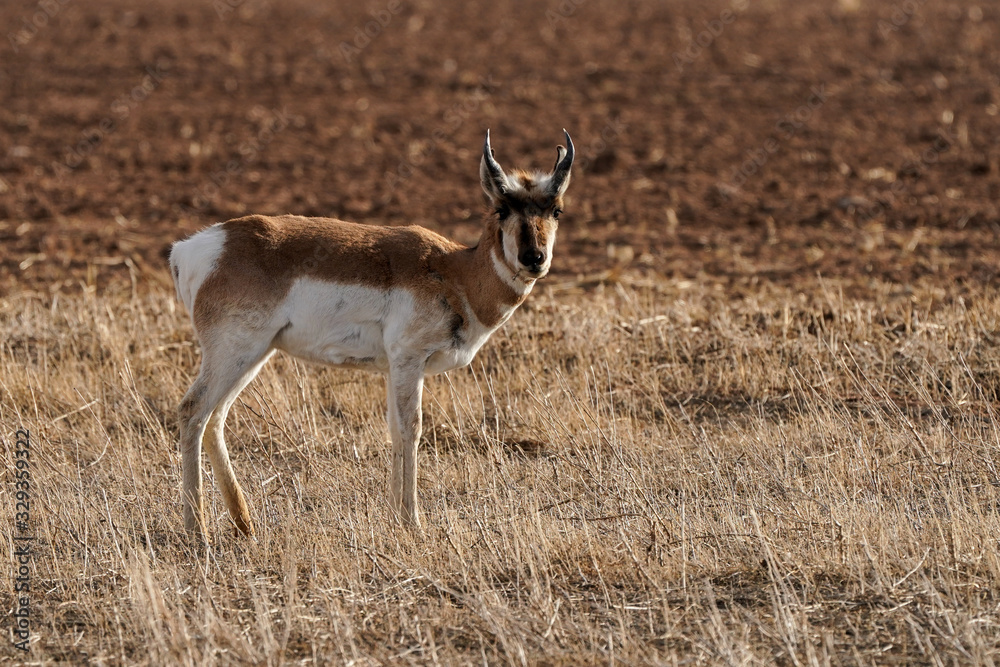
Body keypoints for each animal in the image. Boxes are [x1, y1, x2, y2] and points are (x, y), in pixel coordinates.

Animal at [169, 129, 576, 536]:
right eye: (501, 209)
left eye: (556, 210)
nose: (534, 259)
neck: (454, 271)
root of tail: (192, 249)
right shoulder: (409, 361)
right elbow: (412, 429)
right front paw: (413, 522)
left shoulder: (394, 369)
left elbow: (395, 430)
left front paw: (397, 519)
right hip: (235, 353)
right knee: (193, 411)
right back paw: (197, 531)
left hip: (253, 356)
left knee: (214, 419)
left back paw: (244, 524)